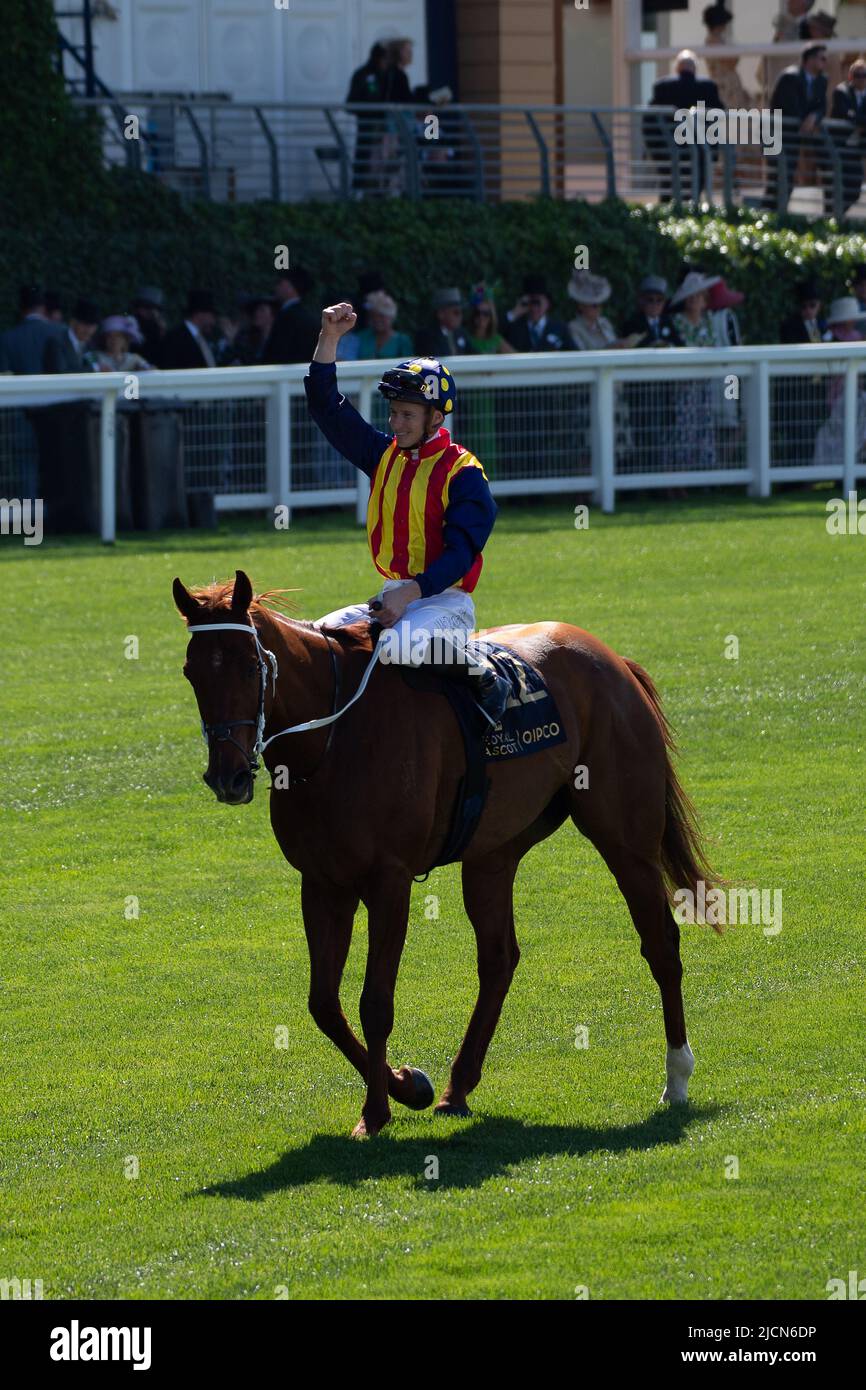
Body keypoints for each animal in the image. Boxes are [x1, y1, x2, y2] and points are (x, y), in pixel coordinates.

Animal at [173, 569, 719, 1139]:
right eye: (192, 672)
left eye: (250, 665)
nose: (228, 777)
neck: (333, 737)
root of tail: (613, 660)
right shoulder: (323, 883)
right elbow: (323, 1003)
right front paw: (407, 1084)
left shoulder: (387, 882)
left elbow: (375, 1002)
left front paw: (376, 1111)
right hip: (492, 855)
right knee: (499, 959)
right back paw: (458, 1086)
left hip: (625, 841)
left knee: (661, 944)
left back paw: (677, 1077)